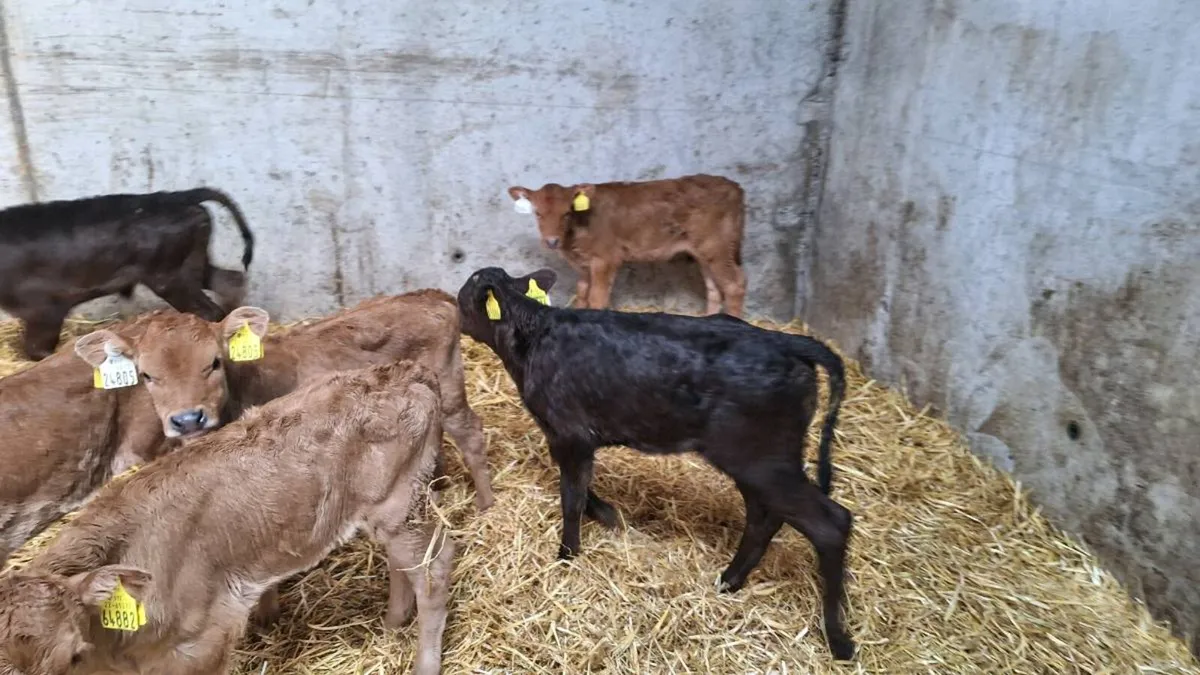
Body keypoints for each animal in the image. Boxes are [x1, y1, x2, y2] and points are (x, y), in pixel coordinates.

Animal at [0, 187, 255, 361]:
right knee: (230, 280)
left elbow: (37, 350)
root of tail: (180, 196)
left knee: (209, 309)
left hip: (169, 276)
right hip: (194, 263)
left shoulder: (44, 309)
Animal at [0, 361, 455, 675]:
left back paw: (424, 663)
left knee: (434, 569)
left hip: (400, 499)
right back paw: (392, 624)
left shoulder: (206, 640)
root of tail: (406, 370)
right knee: (402, 563)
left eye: (72, 655)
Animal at [455, 266, 855, 661]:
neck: (534, 334)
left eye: (463, 298)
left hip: (760, 458)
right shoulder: (568, 437)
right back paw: (729, 581)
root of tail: (787, 342)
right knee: (764, 517)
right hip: (757, 460)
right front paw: (607, 516)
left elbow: (571, 498)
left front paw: (567, 555)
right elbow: (582, 488)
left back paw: (838, 639)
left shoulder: (568, 433)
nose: (455, 318)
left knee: (828, 522)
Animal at [507, 174, 747, 316]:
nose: (552, 241)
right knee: (714, 289)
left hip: (717, 246)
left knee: (734, 285)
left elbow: (597, 297)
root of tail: (734, 185)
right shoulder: (583, 265)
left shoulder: (605, 259)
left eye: (567, 213)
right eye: (538, 213)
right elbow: (582, 292)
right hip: (704, 253)